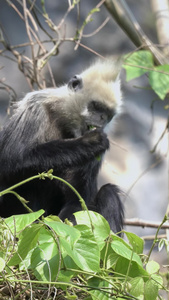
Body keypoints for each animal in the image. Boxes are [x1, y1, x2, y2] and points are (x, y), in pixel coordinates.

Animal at [0, 57, 124, 233]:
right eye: (96, 107)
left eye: (108, 115)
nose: (102, 119)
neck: (63, 121)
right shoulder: (35, 106)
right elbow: (11, 160)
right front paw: (90, 142)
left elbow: (78, 201)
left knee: (109, 192)